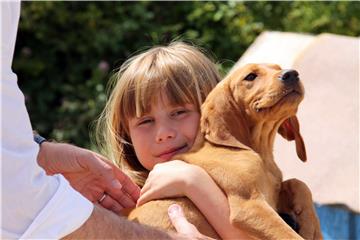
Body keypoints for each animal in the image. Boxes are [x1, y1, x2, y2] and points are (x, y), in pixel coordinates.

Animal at [128, 64, 322, 240]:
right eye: (250, 76)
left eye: (278, 68)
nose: (291, 74)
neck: (259, 153)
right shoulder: (249, 206)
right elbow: (289, 235)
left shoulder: (271, 196)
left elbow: (297, 183)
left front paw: (311, 225)